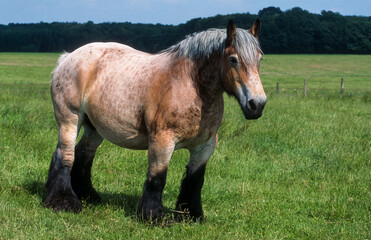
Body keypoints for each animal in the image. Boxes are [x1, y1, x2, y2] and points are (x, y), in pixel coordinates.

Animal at [45, 19, 268, 221]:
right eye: (233, 59)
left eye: (260, 58)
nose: (257, 104)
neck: (189, 84)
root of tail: (68, 57)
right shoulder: (162, 141)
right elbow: (157, 178)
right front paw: (154, 216)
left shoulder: (204, 146)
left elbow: (196, 180)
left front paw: (192, 214)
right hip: (70, 120)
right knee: (65, 155)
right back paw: (64, 202)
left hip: (94, 128)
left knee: (83, 155)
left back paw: (88, 196)